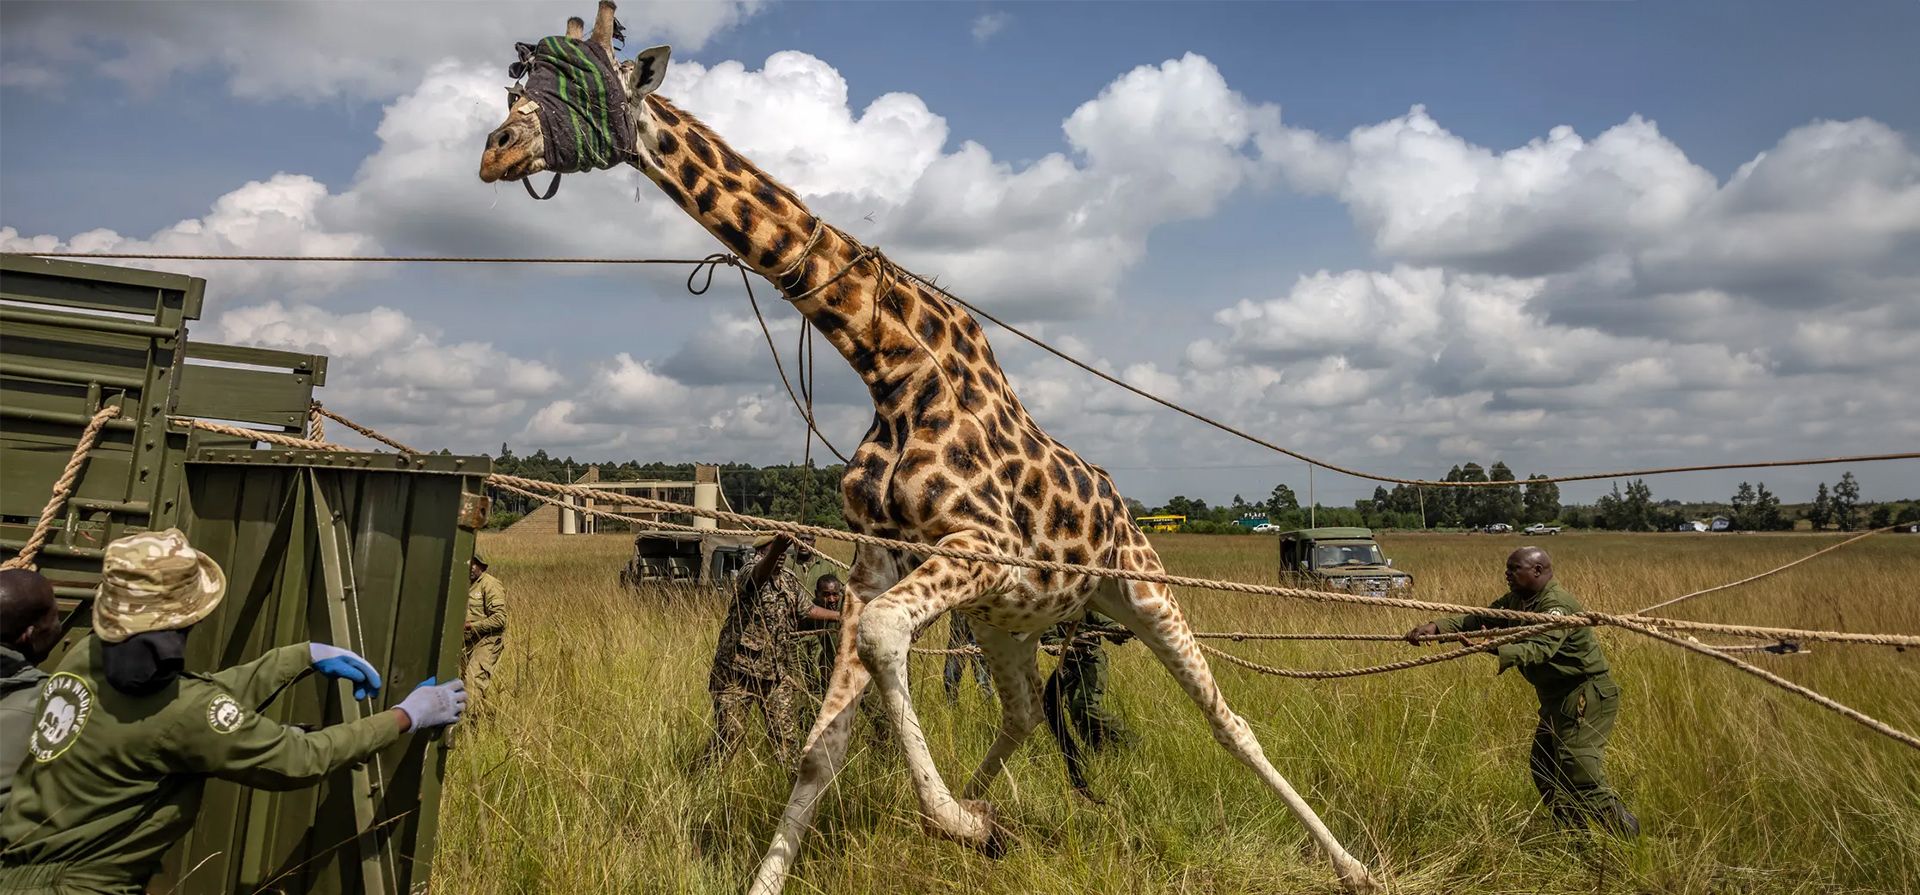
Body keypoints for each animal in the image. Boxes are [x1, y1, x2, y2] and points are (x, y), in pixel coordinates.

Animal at [477, 5, 1381, 893]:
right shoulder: (881, 561)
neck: (891, 366)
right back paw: (990, 811)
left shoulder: (982, 544)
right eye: (522, 74)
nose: (496, 149)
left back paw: (1355, 865)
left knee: (1230, 721)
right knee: (1023, 710)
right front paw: (956, 824)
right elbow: (821, 749)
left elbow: (881, 641)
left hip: (1138, 589)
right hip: (1011, 618)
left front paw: (954, 822)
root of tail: (1124, 509)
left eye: (580, 79)